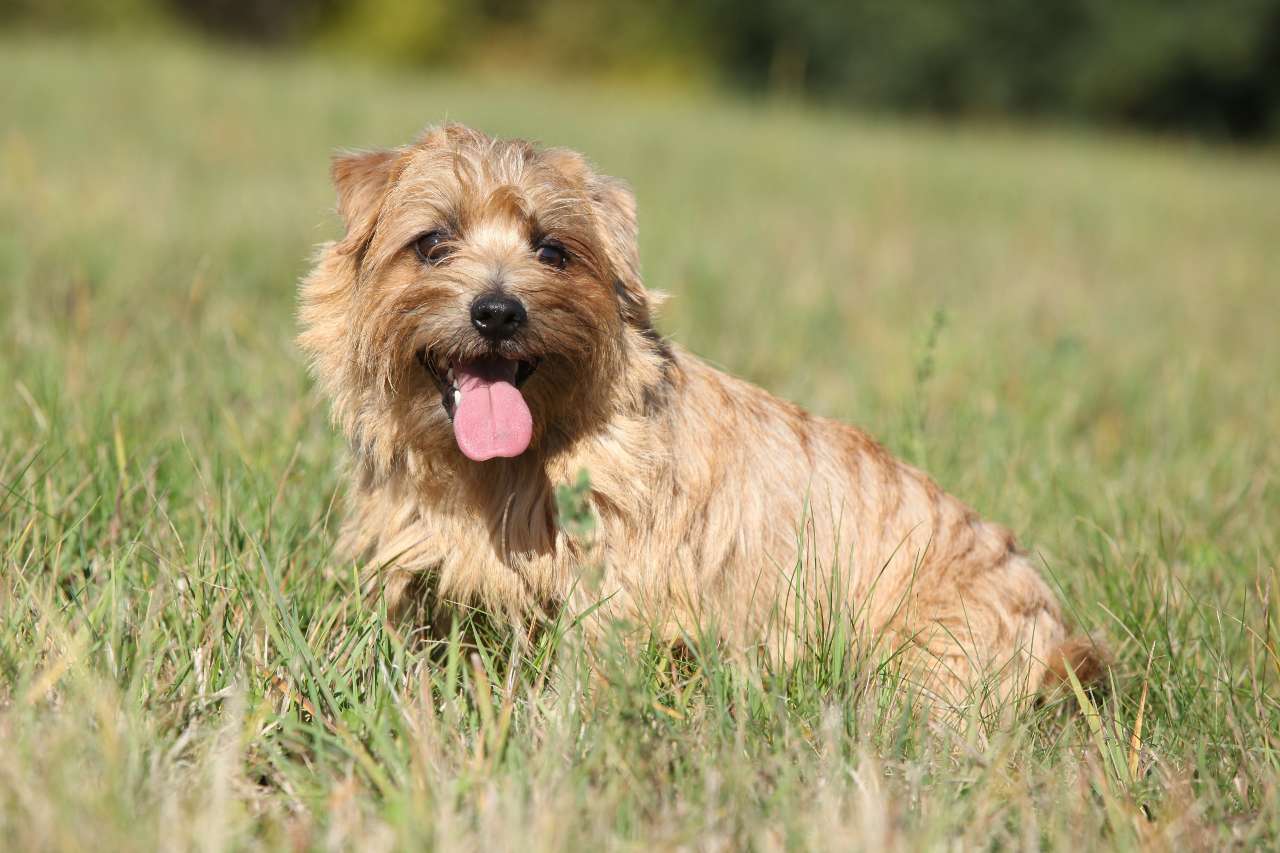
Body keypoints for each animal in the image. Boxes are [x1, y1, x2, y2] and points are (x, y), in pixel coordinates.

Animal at [294, 122, 1105, 706]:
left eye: (553, 251)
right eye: (433, 242)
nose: (498, 311)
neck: (497, 471)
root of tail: (1060, 636)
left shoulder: (618, 583)